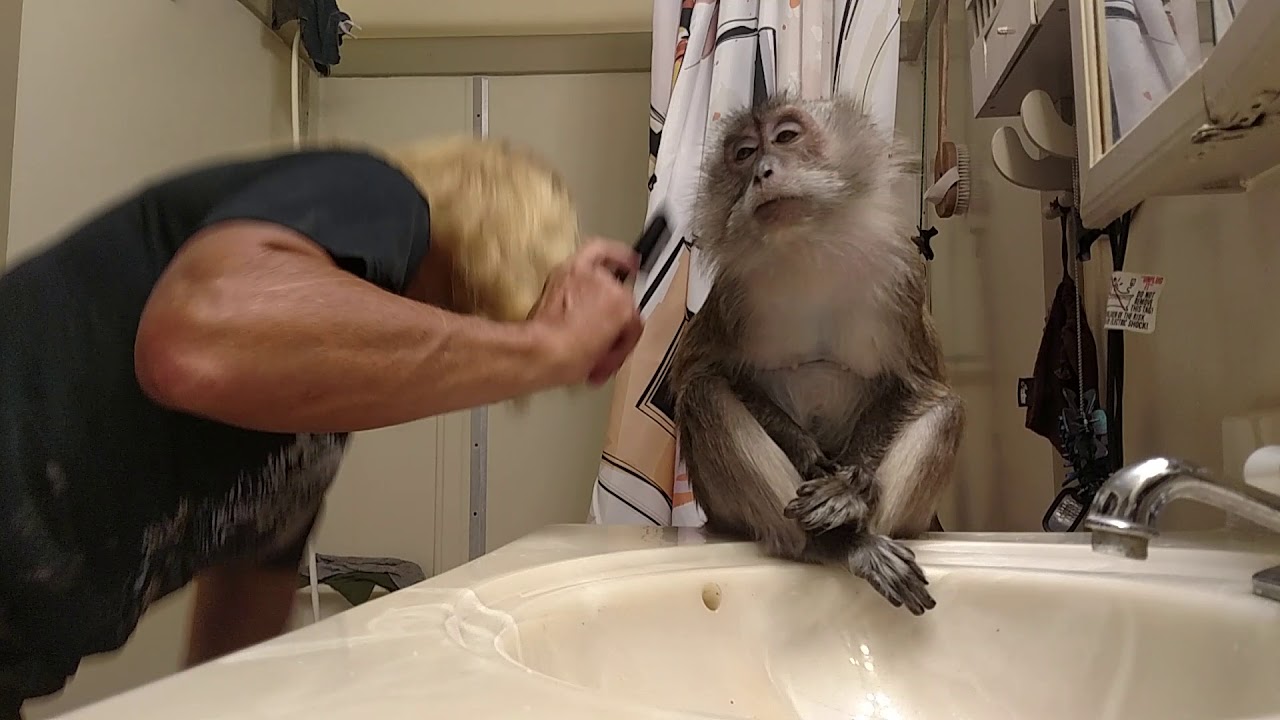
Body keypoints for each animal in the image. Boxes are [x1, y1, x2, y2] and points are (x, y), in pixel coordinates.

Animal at [668, 92, 964, 616]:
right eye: (743, 153)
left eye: (787, 136)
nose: (763, 171)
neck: (807, 246)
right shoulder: (730, 296)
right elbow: (703, 373)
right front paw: (809, 456)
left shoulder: (903, 281)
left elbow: (921, 384)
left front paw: (850, 484)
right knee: (704, 397)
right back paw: (837, 546)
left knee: (947, 410)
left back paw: (858, 523)